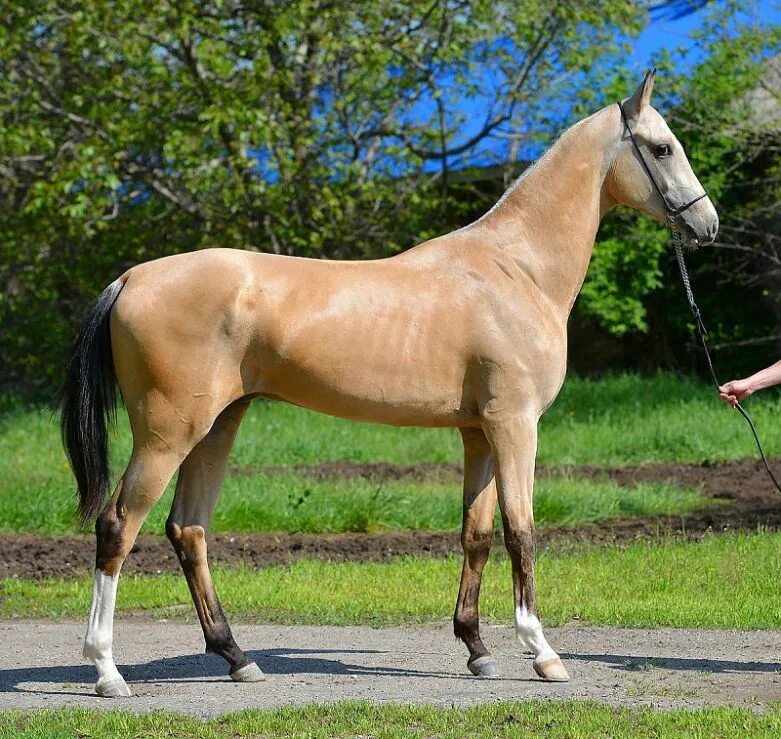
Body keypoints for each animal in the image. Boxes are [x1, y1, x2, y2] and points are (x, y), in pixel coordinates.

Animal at [61, 71, 720, 700]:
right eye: (662, 147)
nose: (707, 224)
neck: (514, 270)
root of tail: (131, 278)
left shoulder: (478, 432)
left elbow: (477, 534)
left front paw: (478, 650)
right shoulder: (514, 425)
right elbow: (522, 532)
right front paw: (543, 653)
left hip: (218, 426)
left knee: (188, 530)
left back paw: (237, 659)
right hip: (168, 433)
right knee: (118, 526)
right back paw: (107, 671)